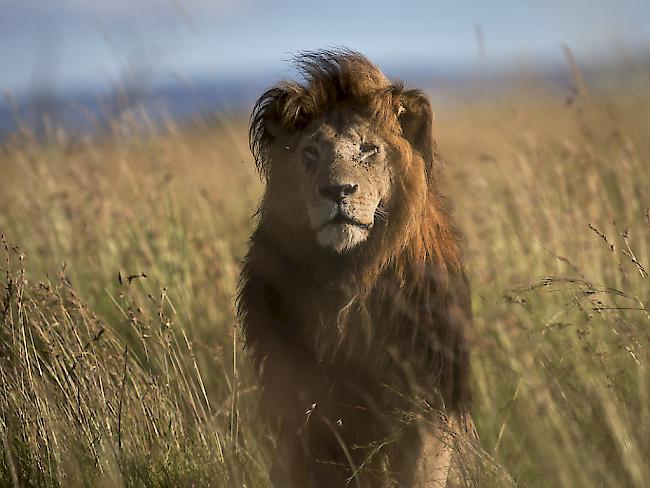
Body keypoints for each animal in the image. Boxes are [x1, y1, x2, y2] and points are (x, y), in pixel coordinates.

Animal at [238, 50, 470, 488]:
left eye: (367, 150)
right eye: (311, 154)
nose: (337, 190)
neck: (349, 275)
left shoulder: (428, 400)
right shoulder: (303, 409)